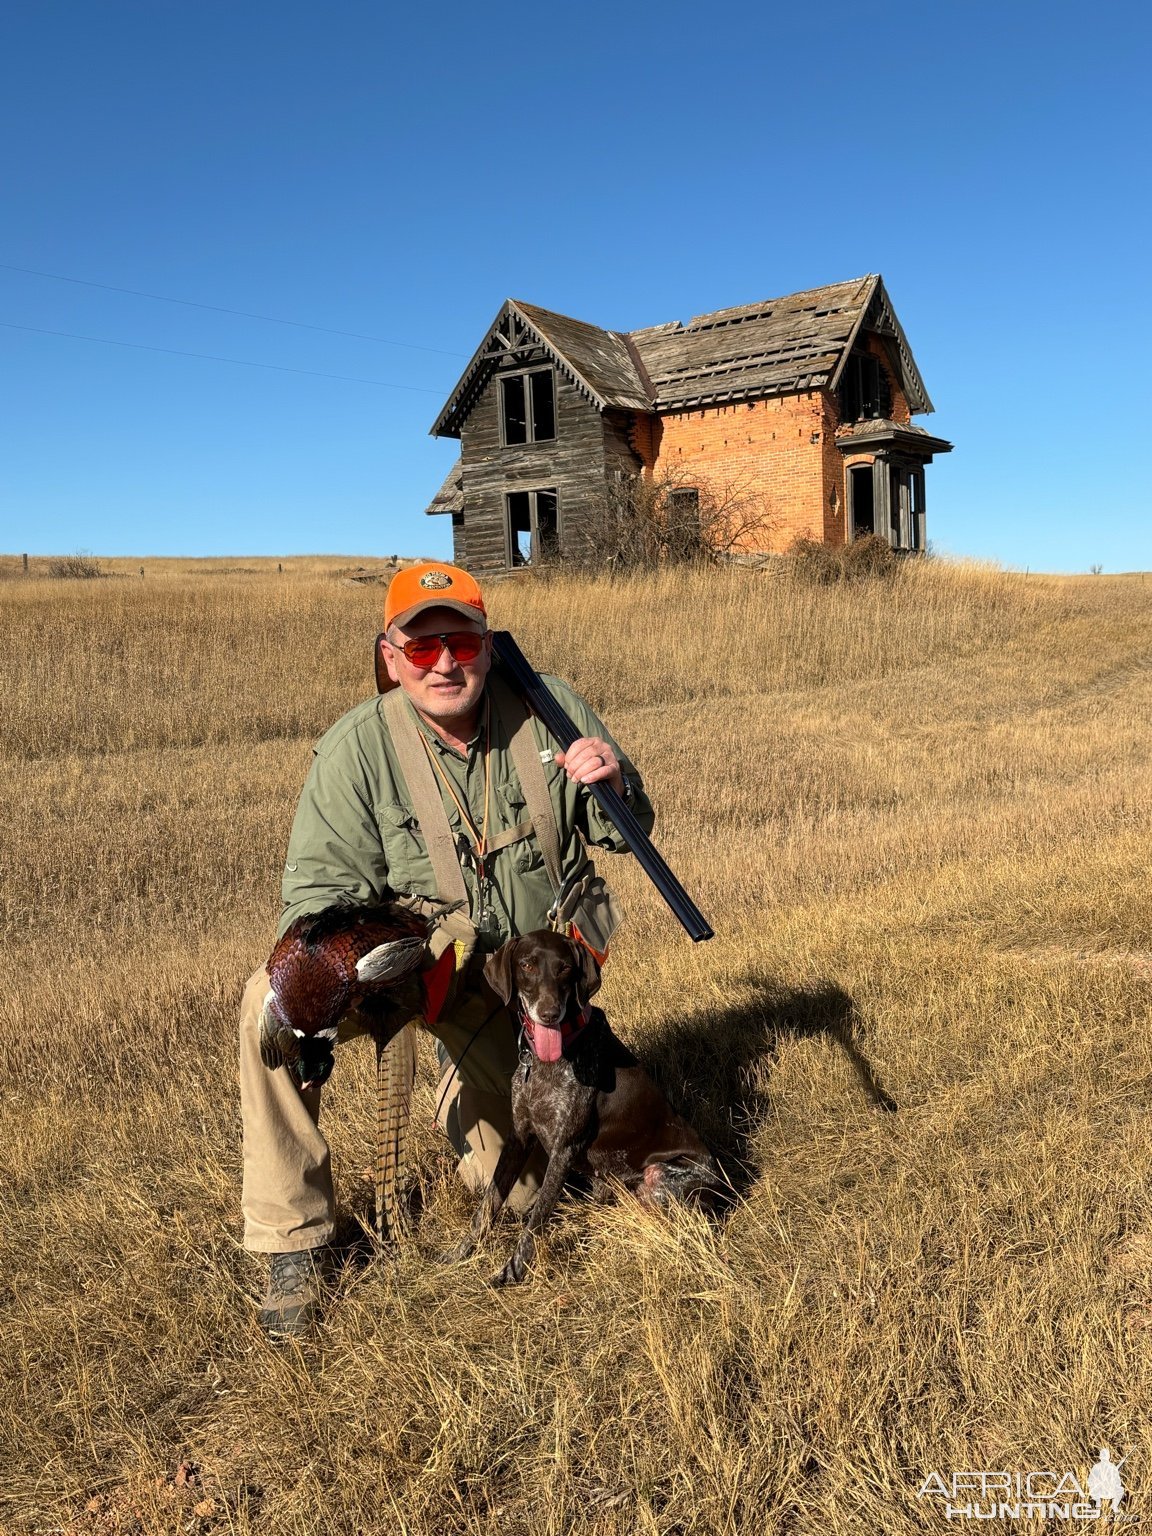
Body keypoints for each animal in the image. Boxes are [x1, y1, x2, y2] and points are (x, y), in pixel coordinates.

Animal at [445, 921, 724, 1284]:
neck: (545, 1062)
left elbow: (537, 1217)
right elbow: (488, 1203)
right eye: (527, 965)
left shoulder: (564, 1147)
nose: (549, 1014)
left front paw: (513, 1269)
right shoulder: (519, 1136)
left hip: (660, 1176)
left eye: (565, 968)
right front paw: (460, 1252)